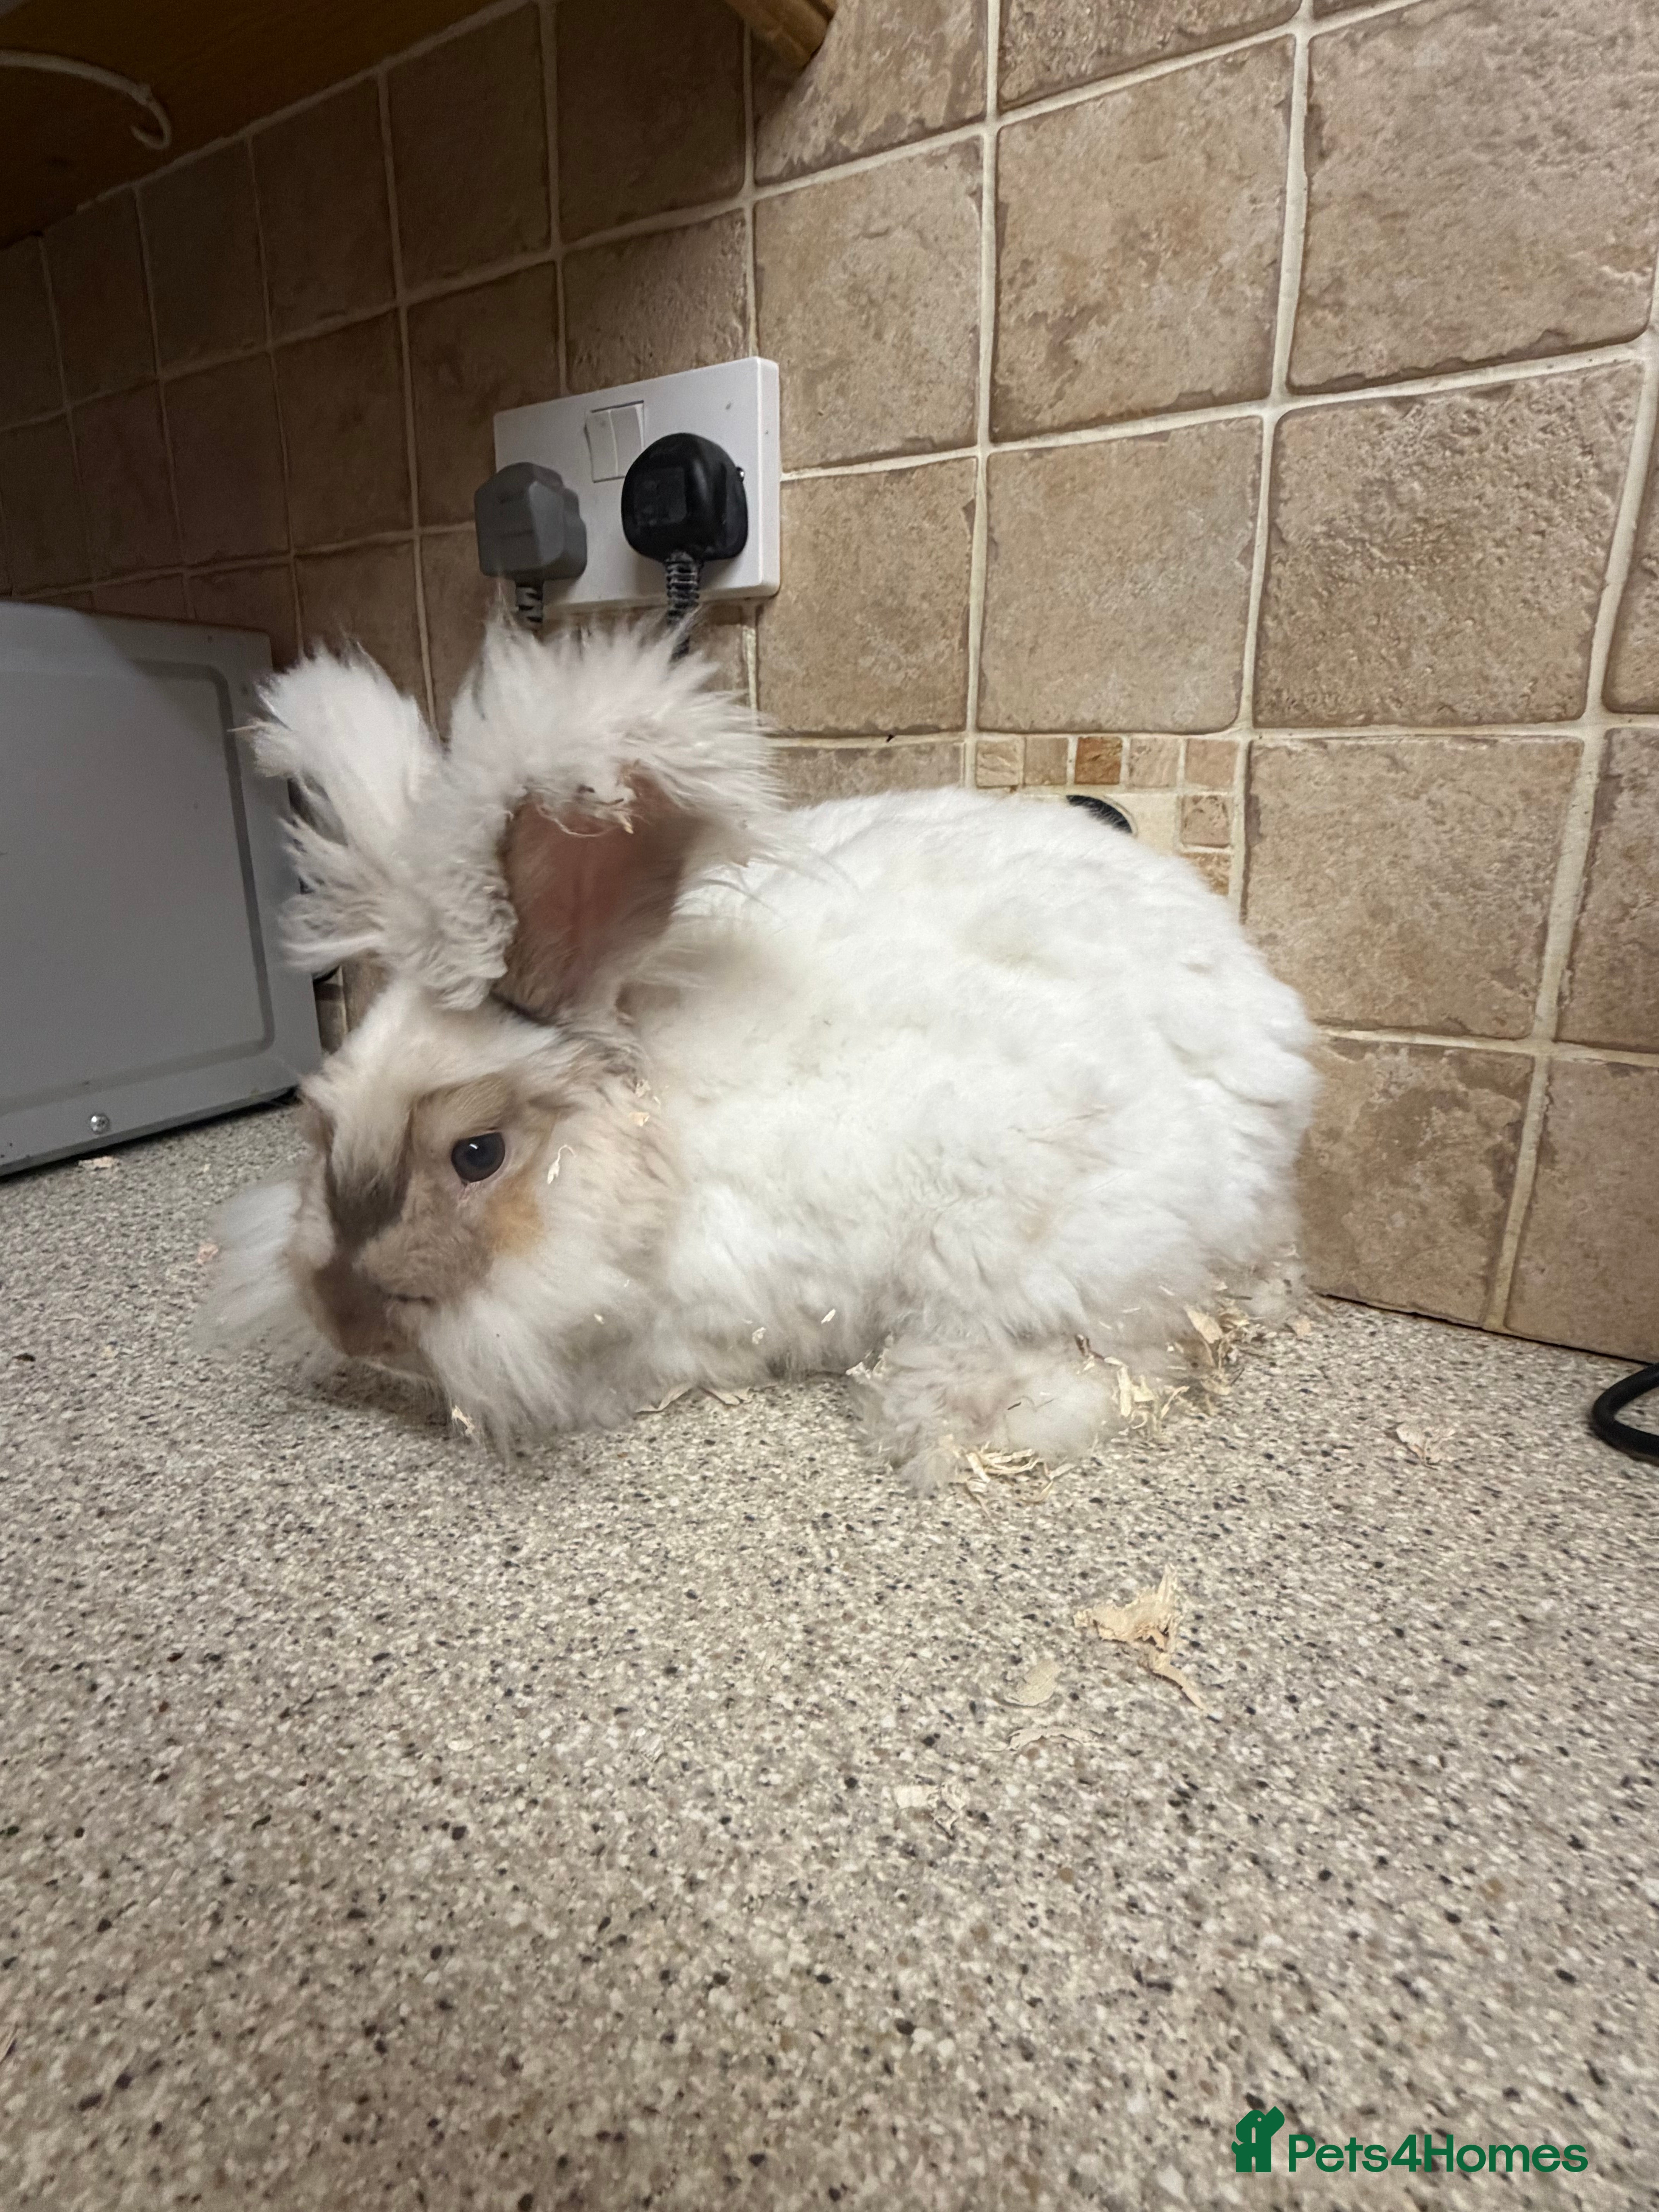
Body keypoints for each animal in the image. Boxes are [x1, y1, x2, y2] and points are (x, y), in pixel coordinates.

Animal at [204, 617, 1316, 1493]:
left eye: (476, 1155)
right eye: (315, 1126)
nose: (348, 1325)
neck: (660, 1140)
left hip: (1058, 1249)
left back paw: (945, 1408)